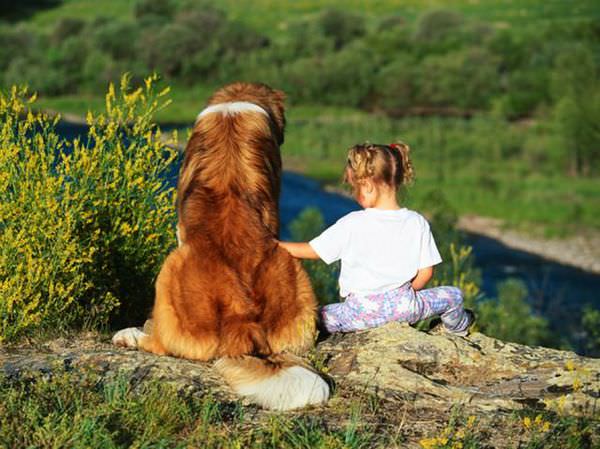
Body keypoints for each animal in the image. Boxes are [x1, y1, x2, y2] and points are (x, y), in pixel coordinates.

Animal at [112, 82, 328, 408]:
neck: (234, 105)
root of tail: (243, 321)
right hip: (297, 279)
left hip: (170, 269)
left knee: (160, 343)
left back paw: (130, 335)